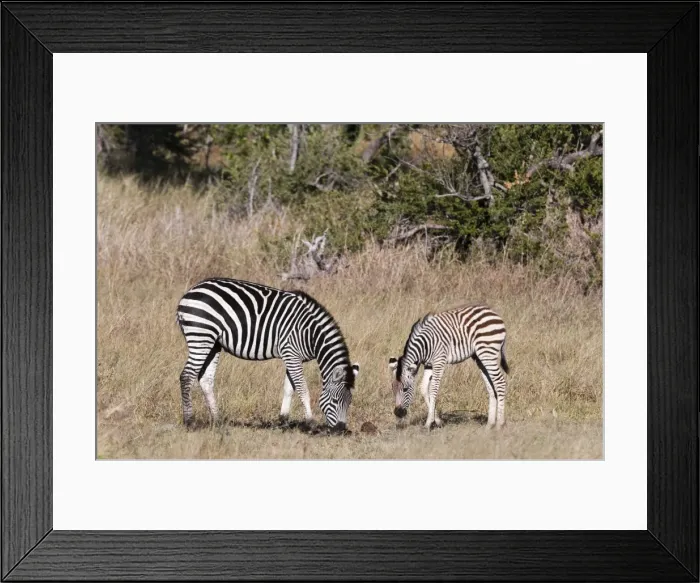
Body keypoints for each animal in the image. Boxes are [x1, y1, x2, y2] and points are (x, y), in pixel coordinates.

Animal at [175, 278, 359, 432]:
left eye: (350, 401)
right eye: (335, 401)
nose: (340, 430)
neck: (310, 333)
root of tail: (188, 294)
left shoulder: (293, 356)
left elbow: (289, 389)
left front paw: (283, 420)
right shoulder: (291, 353)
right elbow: (302, 388)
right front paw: (311, 422)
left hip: (213, 343)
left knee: (205, 379)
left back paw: (217, 420)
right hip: (201, 335)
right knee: (186, 375)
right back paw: (189, 422)